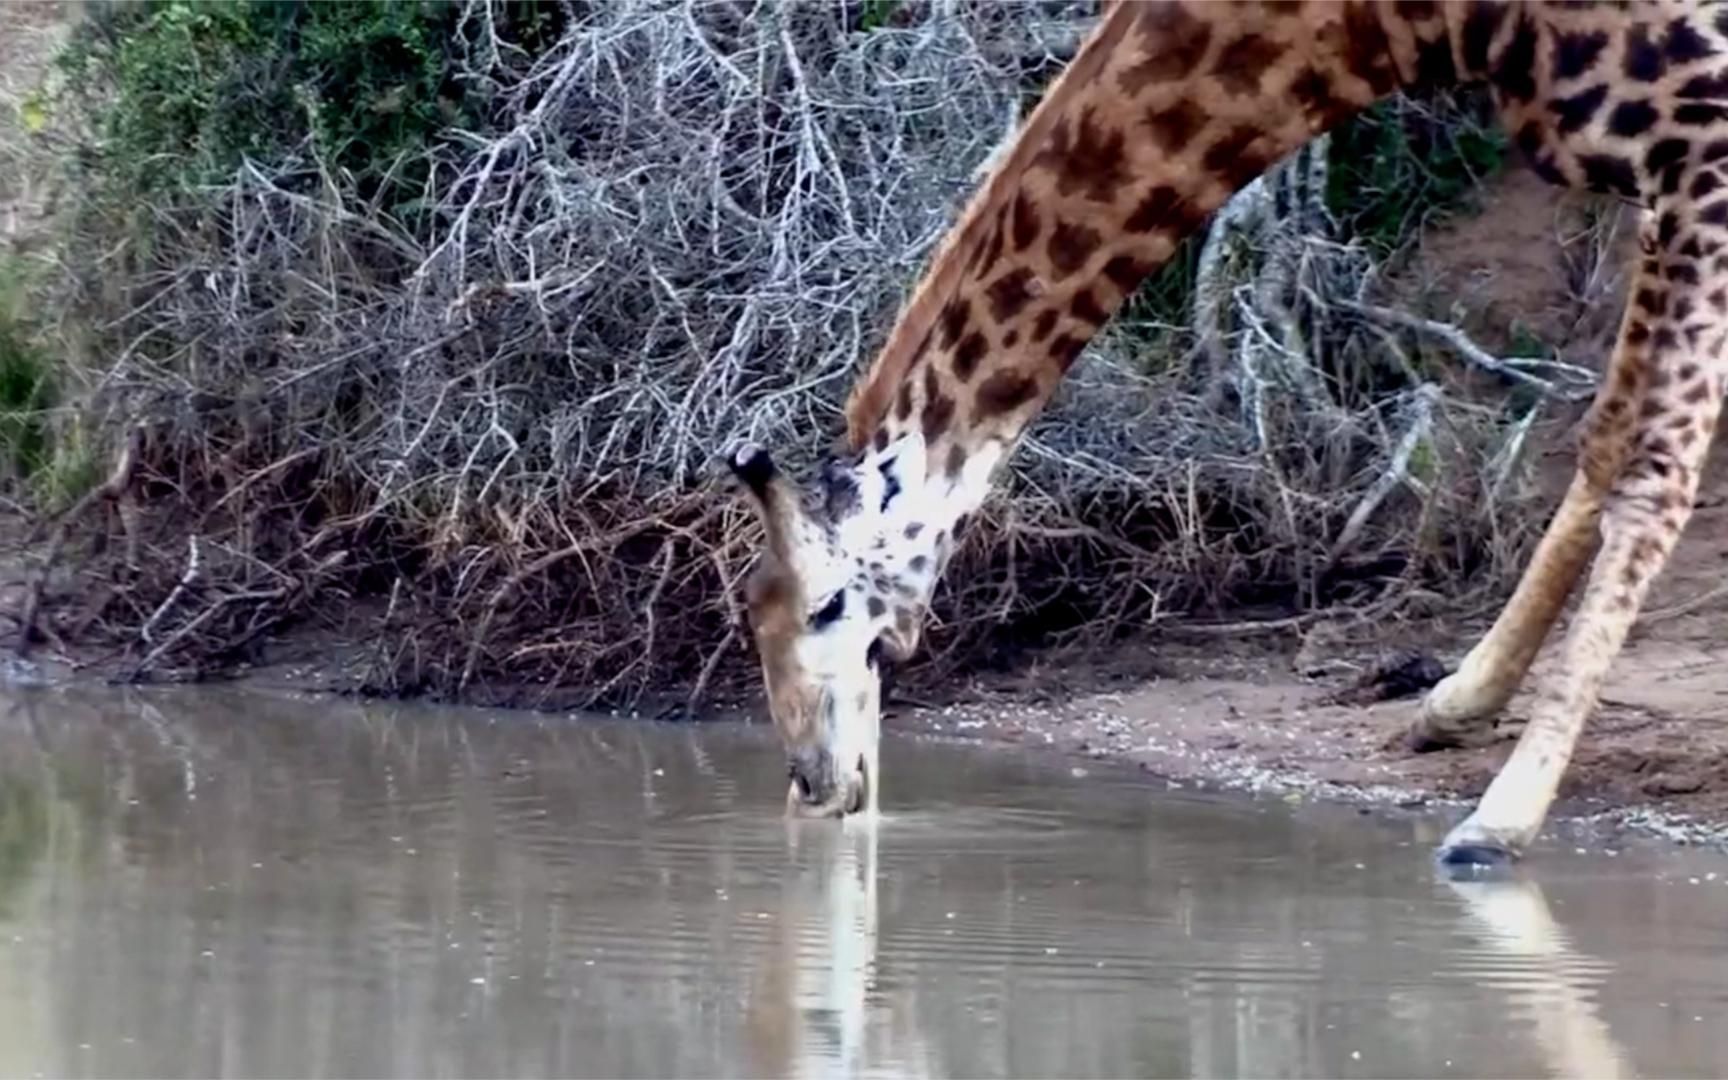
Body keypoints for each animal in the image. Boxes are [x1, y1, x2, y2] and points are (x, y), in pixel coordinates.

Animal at [722, 0, 1728, 864]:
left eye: (828, 605)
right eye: (753, 615)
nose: (813, 787)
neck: (1408, 23)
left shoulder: (1699, 141)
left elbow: (1656, 475)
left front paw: (1499, 822)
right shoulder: (1657, 171)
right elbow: (1606, 435)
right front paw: (1453, 703)